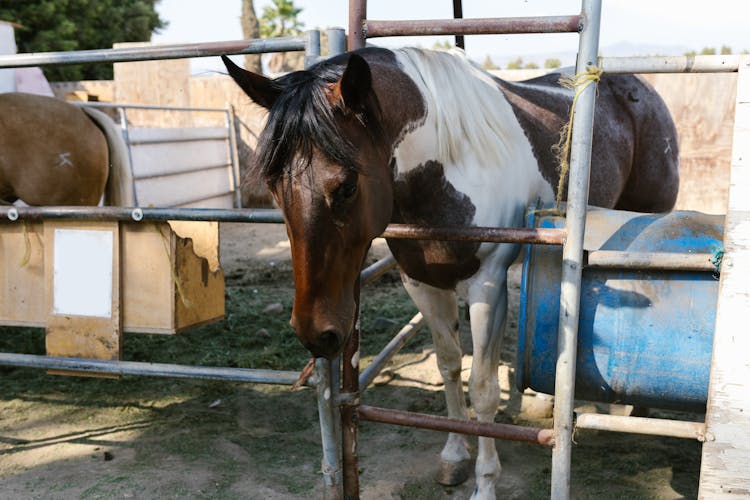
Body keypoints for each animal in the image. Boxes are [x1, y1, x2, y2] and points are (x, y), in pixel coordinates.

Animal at [223, 47, 680, 500]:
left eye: (347, 187)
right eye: (274, 187)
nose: (316, 334)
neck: (448, 168)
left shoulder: (488, 287)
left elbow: (483, 388)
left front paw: (485, 482)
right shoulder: (421, 283)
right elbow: (449, 366)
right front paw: (455, 455)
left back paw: (634, 408)